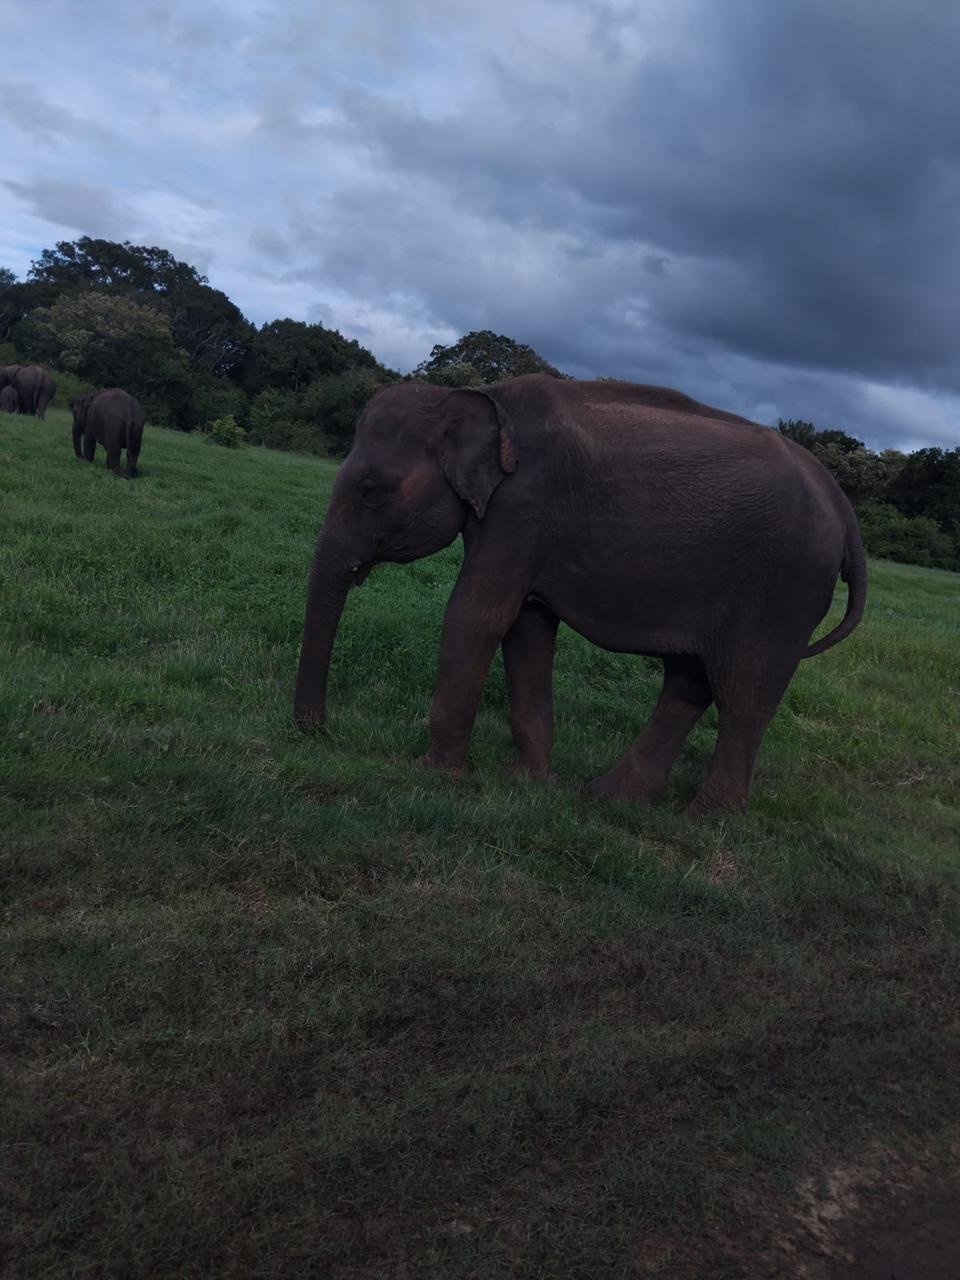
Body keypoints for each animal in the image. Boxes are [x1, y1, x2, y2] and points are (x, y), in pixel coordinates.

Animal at [293, 376, 867, 816]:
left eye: (370, 489)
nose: (320, 731)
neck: (479, 397)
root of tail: (845, 510)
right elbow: (525, 624)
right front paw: (526, 780)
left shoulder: (522, 509)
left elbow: (478, 616)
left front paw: (433, 774)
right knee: (689, 680)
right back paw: (612, 797)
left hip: (784, 587)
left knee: (743, 691)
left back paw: (702, 820)